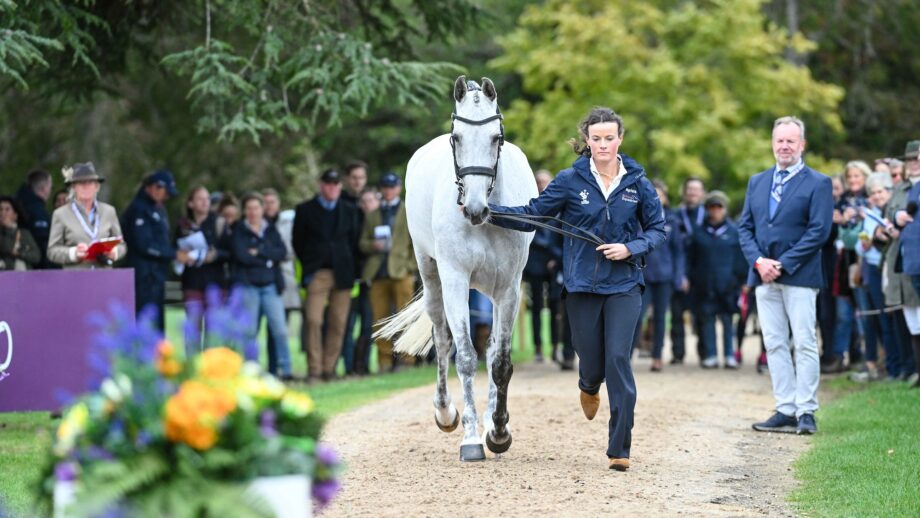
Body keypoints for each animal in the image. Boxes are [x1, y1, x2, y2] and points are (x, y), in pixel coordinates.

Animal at [376, 76, 537, 461]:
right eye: (457, 138)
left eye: (496, 138)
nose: (475, 209)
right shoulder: (454, 282)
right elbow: (464, 356)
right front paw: (471, 439)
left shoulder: (508, 289)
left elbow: (500, 362)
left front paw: (498, 431)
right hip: (431, 275)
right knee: (442, 337)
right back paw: (446, 412)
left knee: (491, 350)